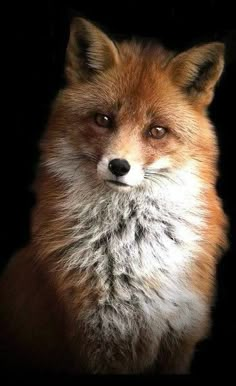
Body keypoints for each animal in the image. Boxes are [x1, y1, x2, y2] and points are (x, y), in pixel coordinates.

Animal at [0, 18, 229, 374]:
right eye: (103, 119)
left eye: (157, 131)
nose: (119, 166)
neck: (135, 250)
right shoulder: (98, 342)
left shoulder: (179, 338)